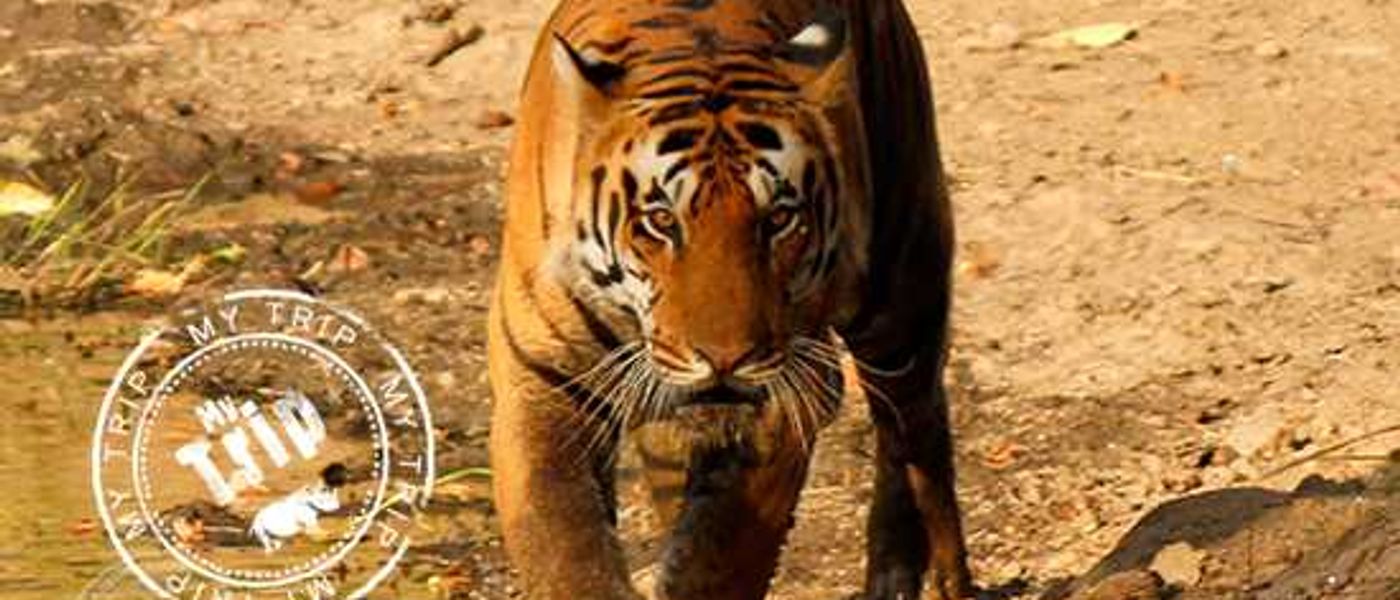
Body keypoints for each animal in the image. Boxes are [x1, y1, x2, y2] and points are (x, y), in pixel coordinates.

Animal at [486, 0, 975, 598]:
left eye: (779, 218)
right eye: (661, 220)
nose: (725, 359)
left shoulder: (786, 395)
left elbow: (722, 554)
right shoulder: (540, 379)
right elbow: (562, 543)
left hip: (900, 285)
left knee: (913, 425)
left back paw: (922, 576)